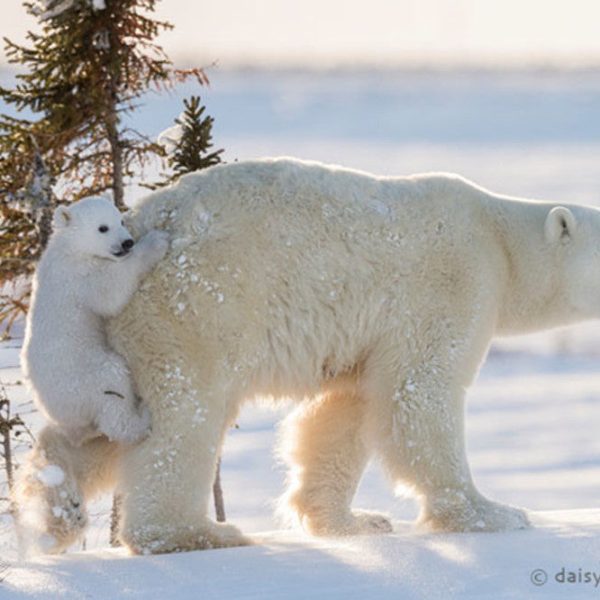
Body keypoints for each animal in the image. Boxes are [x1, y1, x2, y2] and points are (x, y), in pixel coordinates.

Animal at [17, 158, 600, 552]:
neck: (499, 239)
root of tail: (137, 222)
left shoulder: (366, 337)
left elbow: (344, 411)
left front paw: (354, 522)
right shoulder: (452, 282)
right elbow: (419, 394)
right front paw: (494, 513)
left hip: (119, 334)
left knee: (109, 420)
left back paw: (58, 500)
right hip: (194, 309)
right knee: (182, 418)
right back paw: (198, 532)